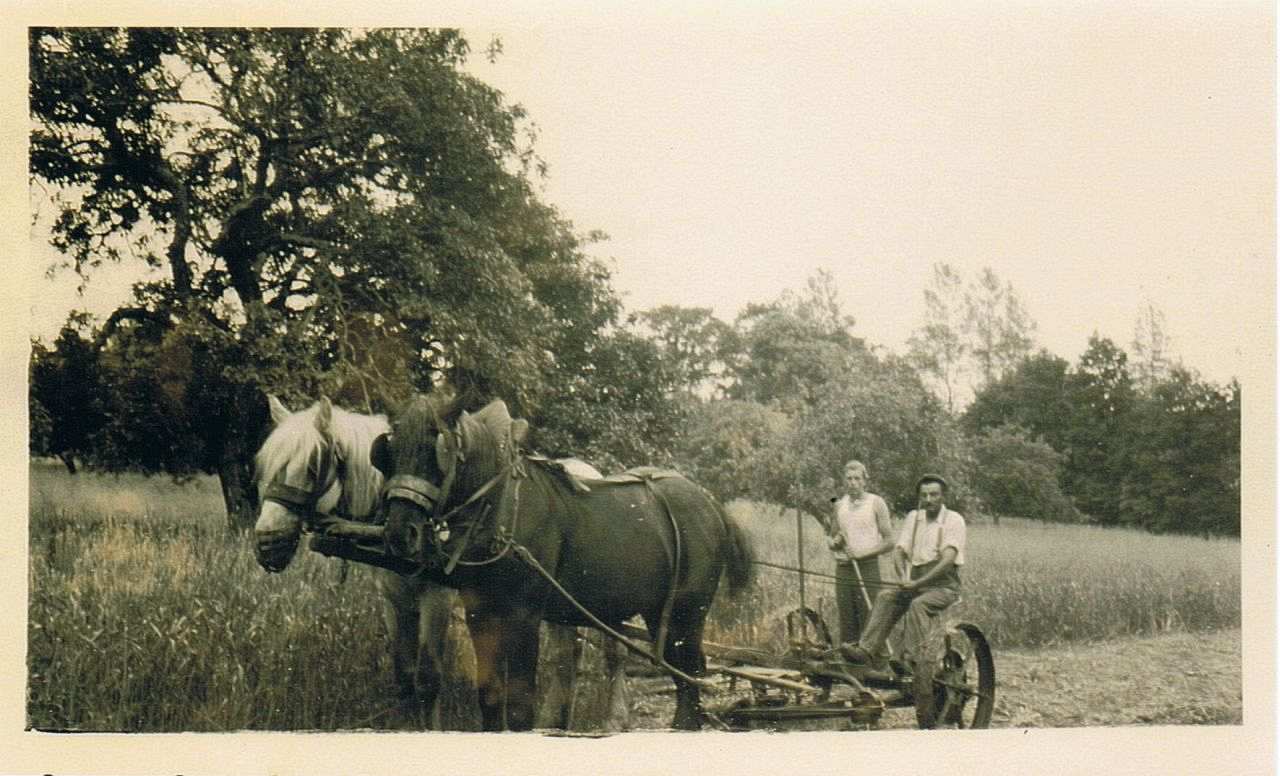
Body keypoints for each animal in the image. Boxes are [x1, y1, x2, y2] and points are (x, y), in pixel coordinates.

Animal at [250, 399, 629, 732]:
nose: (267, 541)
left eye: (313, 466)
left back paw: (612, 719)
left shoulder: (438, 598)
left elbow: (429, 676)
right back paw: (555, 721)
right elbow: (404, 677)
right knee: (567, 656)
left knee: (613, 653)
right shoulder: (393, 599)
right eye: (264, 466)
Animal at [373, 399, 747, 732]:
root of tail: (711, 504)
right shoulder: (480, 613)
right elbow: (490, 696)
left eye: (435, 450)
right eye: (389, 451)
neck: (502, 507)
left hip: (689, 610)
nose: (399, 532)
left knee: (691, 672)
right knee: (681, 672)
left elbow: (520, 704)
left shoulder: (524, 615)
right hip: (660, 612)